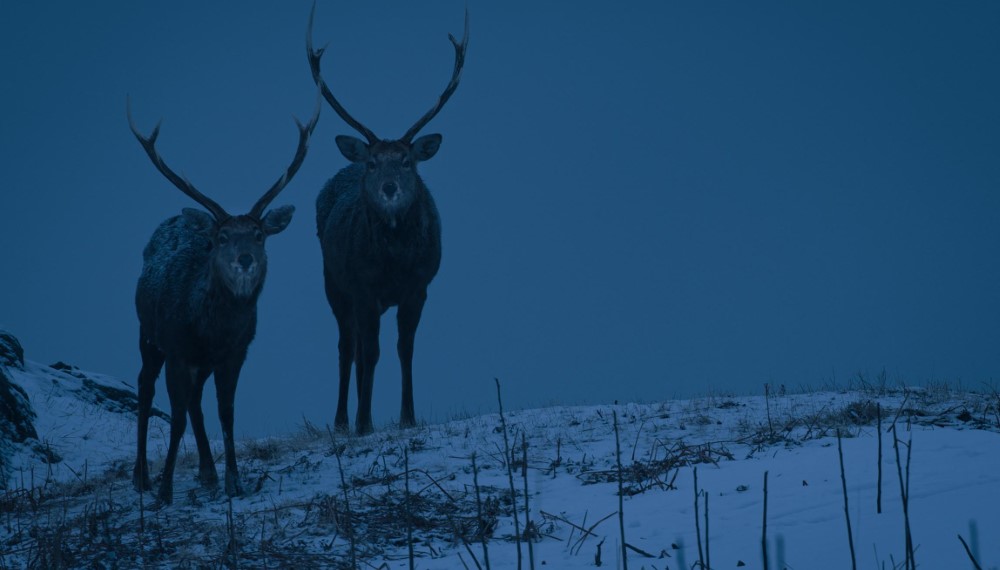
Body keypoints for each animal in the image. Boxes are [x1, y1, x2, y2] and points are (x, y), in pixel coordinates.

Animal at [127, 97, 318, 502]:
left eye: (259, 235)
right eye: (223, 237)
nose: (244, 259)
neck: (212, 330)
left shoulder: (235, 352)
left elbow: (226, 412)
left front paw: (234, 481)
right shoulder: (178, 350)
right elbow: (176, 417)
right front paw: (165, 491)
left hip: (198, 363)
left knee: (196, 402)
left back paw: (207, 472)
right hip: (147, 334)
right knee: (145, 387)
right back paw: (142, 477)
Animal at [304, 3, 468, 430]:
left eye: (407, 161)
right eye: (374, 163)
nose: (390, 188)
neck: (395, 262)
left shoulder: (419, 287)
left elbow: (403, 349)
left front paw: (407, 416)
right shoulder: (362, 287)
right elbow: (370, 351)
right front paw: (364, 422)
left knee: (361, 347)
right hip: (333, 283)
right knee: (348, 346)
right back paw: (343, 420)